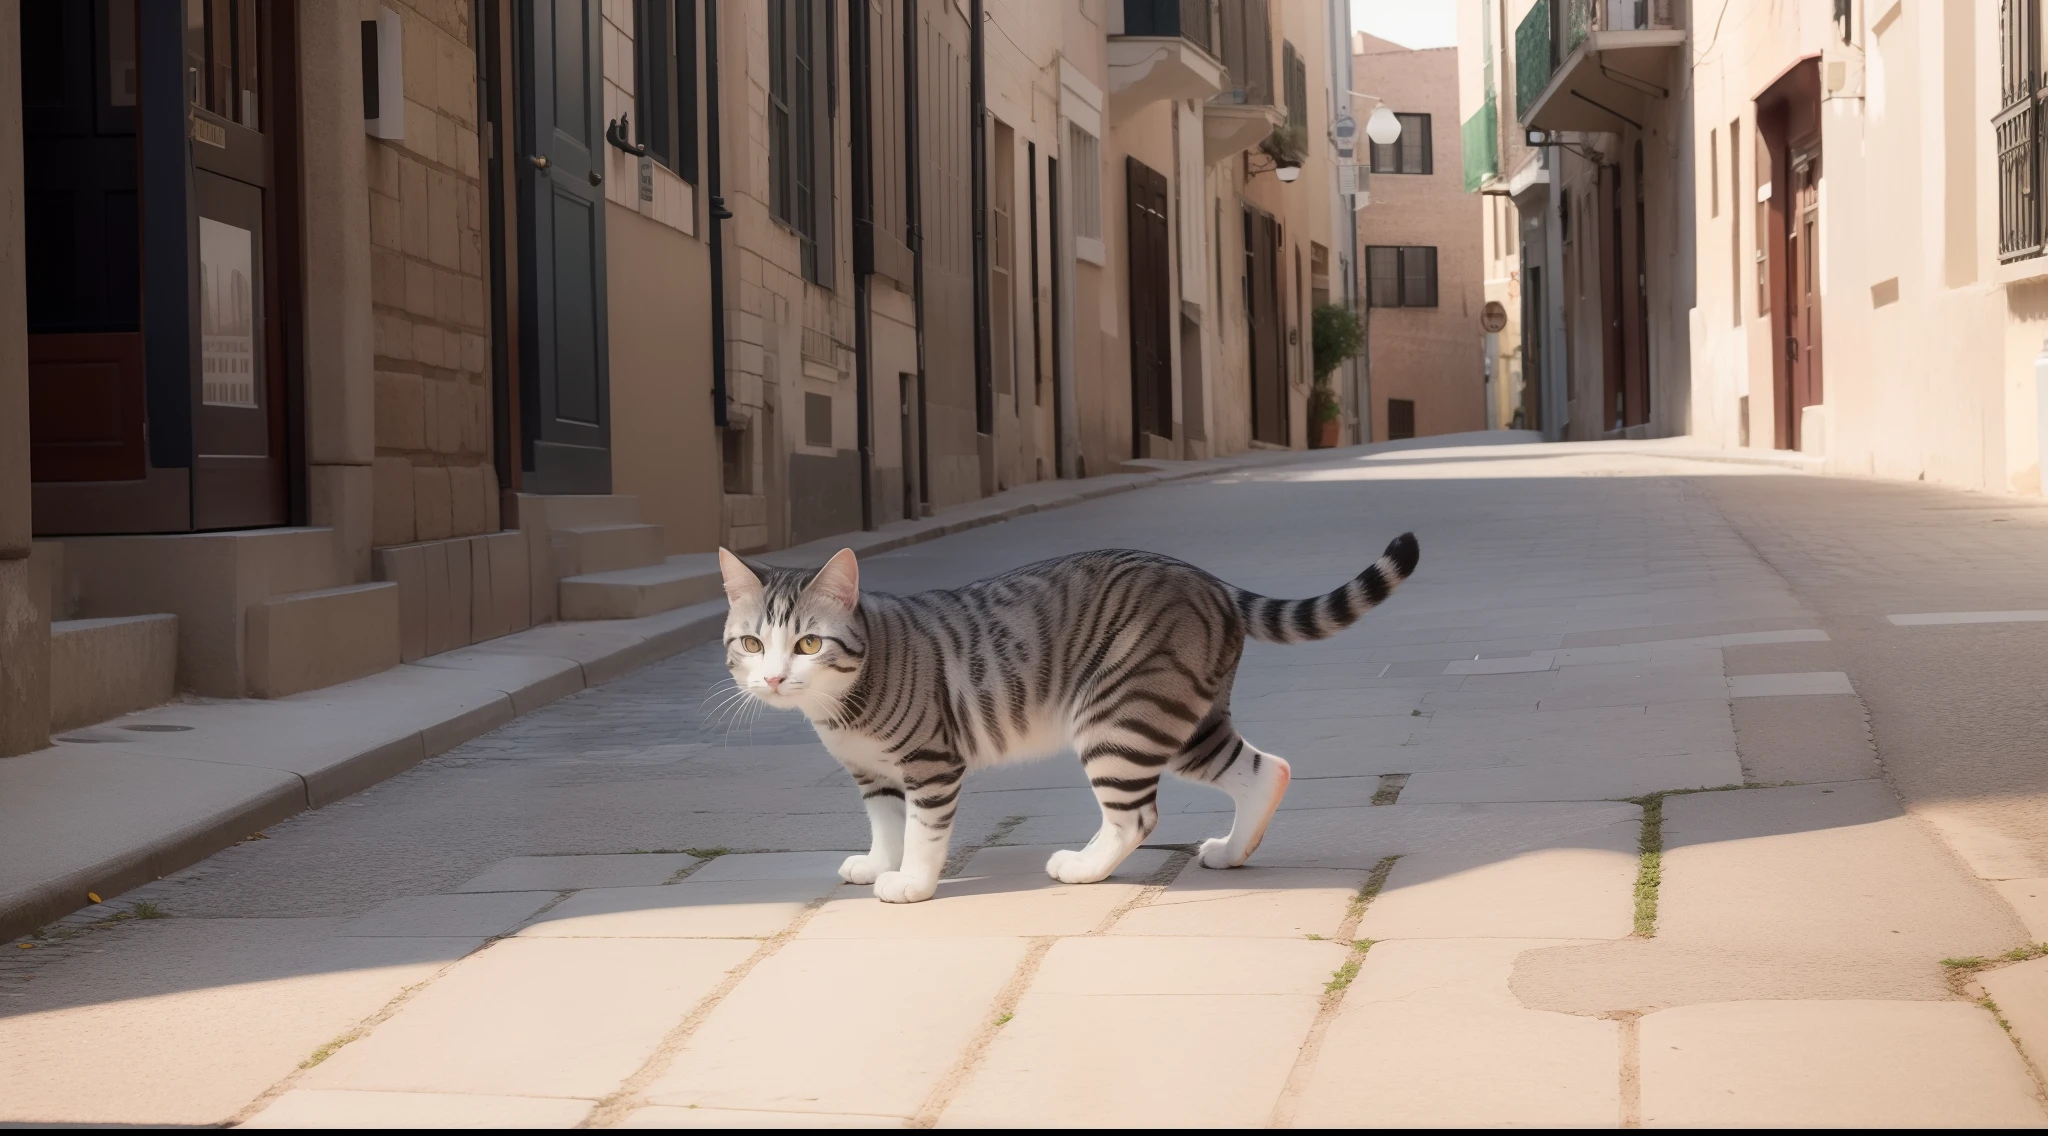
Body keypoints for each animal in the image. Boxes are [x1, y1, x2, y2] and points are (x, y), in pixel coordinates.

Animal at [724, 536, 1425, 908]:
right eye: (753, 644)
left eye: (809, 644)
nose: (775, 679)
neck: (841, 707)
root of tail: (1209, 580)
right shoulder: (874, 776)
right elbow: (887, 826)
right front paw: (878, 863)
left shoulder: (930, 763)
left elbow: (922, 833)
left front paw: (912, 884)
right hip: (1186, 720)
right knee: (1265, 769)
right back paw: (1232, 851)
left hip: (1118, 718)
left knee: (1137, 817)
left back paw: (1084, 867)